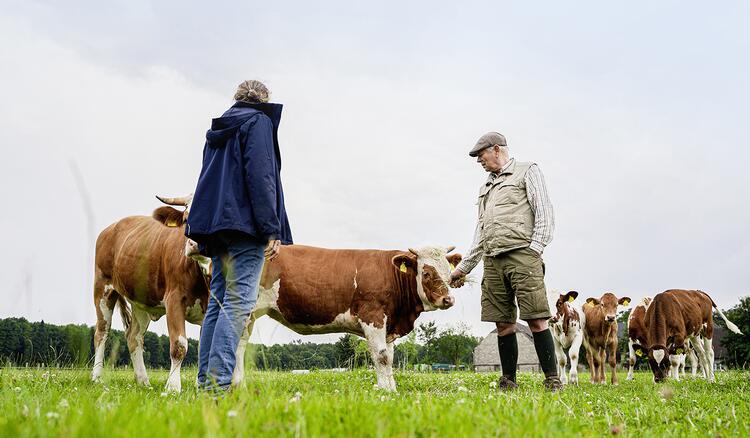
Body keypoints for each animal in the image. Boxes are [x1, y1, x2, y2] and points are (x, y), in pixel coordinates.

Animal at [94, 193, 213, 392]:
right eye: (186, 219)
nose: (194, 244)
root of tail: (111, 227)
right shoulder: (174, 299)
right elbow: (179, 345)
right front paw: (173, 388)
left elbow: (206, 347)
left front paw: (202, 387)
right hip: (103, 288)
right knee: (102, 332)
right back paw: (96, 378)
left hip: (141, 301)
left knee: (133, 337)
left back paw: (143, 381)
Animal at [234, 245, 464, 392]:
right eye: (426, 273)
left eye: (448, 272)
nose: (448, 299)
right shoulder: (373, 316)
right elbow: (381, 356)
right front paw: (385, 391)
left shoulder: (389, 325)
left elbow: (390, 357)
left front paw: (392, 388)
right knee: (238, 345)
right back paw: (237, 385)